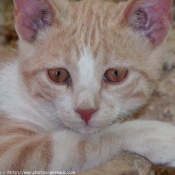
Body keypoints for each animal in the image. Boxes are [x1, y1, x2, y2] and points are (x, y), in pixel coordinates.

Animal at [0, 0, 175, 173]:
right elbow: (80, 143)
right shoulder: (11, 154)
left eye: (116, 74)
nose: (85, 111)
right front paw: (155, 134)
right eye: (58, 74)